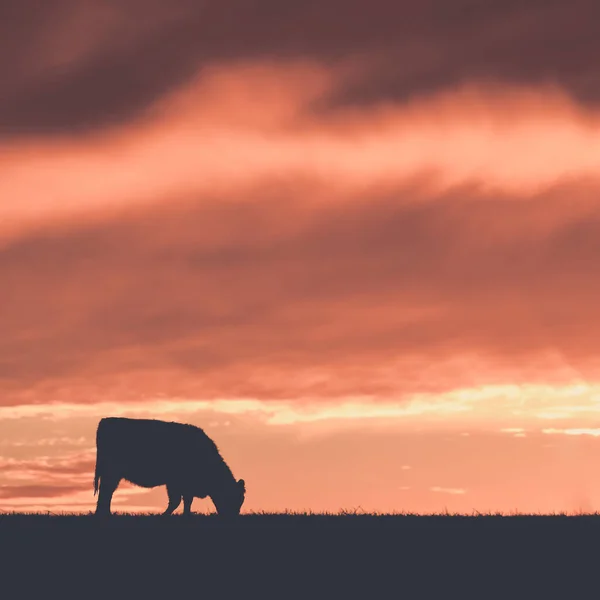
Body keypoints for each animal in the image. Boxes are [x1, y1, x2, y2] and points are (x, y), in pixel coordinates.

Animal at [94, 418, 244, 516]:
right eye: (234, 498)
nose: (232, 517)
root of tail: (105, 421)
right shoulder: (176, 483)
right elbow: (177, 501)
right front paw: (165, 515)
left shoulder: (182, 485)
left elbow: (185, 501)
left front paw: (186, 515)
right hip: (111, 473)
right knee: (106, 492)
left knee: (107, 492)